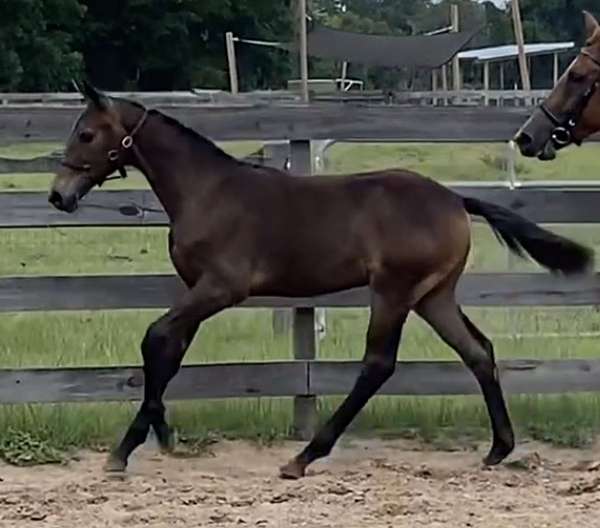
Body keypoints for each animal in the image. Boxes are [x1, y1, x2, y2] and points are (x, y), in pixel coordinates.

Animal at [49, 81, 592, 478]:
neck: (207, 191)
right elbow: (169, 351)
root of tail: (456, 200)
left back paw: (304, 457)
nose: (59, 195)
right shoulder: (196, 290)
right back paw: (499, 448)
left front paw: (133, 445)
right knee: (478, 352)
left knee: (378, 365)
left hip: (393, 292)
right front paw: (156, 435)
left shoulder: (222, 288)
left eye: (87, 134)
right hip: (434, 296)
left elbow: (154, 337)